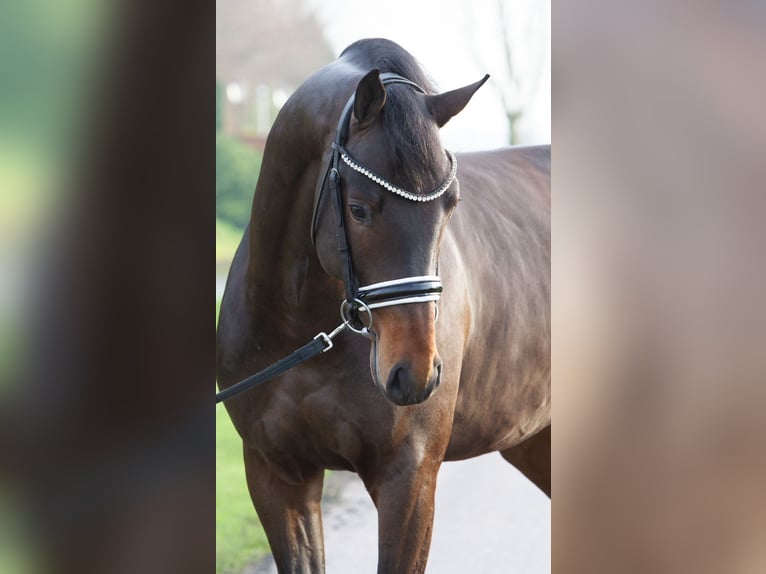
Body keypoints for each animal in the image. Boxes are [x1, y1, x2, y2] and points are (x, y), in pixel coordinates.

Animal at [216, 38, 550, 573]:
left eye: (450, 205)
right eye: (358, 209)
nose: (415, 372)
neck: (298, 329)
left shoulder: (408, 479)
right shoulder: (277, 476)